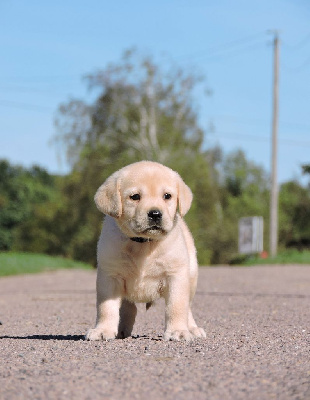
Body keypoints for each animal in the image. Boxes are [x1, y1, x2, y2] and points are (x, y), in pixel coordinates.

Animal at [85, 160, 206, 340]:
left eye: (167, 196)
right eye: (135, 197)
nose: (155, 214)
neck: (143, 244)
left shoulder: (176, 275)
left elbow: (176, 306)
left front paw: (177, 331)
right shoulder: (110, 276)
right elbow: (106, 307)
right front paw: (103, 330)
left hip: (191, 276)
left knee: (188, 307)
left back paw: (192, 328)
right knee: (129, 308)